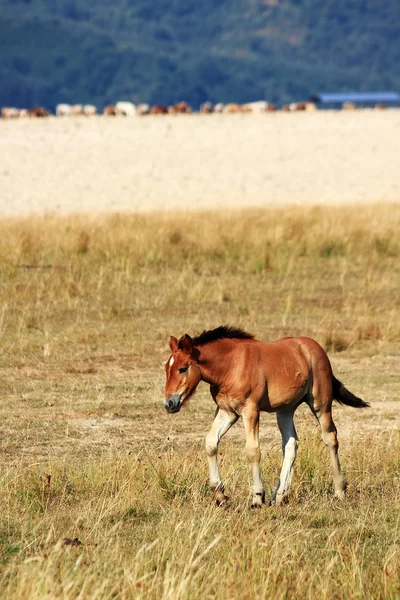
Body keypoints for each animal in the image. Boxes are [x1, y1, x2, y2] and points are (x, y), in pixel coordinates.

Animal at [164, 328, 370, 506]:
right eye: (166, 368)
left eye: (183, 368)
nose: (168, 404)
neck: (231, 366)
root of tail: (315, 347)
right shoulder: (226, 411)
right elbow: (211, 443)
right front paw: (220, 495)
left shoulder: (250, 410)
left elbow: (253, 450)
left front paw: (257, 497)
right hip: (285, 409)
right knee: (291, 443)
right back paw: (279, 496)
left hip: (321, 403)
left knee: (330, 438)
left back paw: (339, 491)